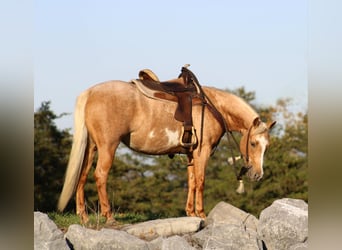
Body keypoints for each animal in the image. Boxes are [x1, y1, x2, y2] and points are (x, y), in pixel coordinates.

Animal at [57, 79, 276, 223]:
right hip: (107, 146)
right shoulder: (202, 152)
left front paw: (191, 213)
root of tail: (90, 93)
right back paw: (109, 217)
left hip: (92, 146)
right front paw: (201, 213)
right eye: (253, 143)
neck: (213, 106)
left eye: (267, 146)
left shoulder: (191, 154)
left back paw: (83, 216)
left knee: (82, 175)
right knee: (100, 175)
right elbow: (201, 181)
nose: (257, 175)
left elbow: (192, 181)